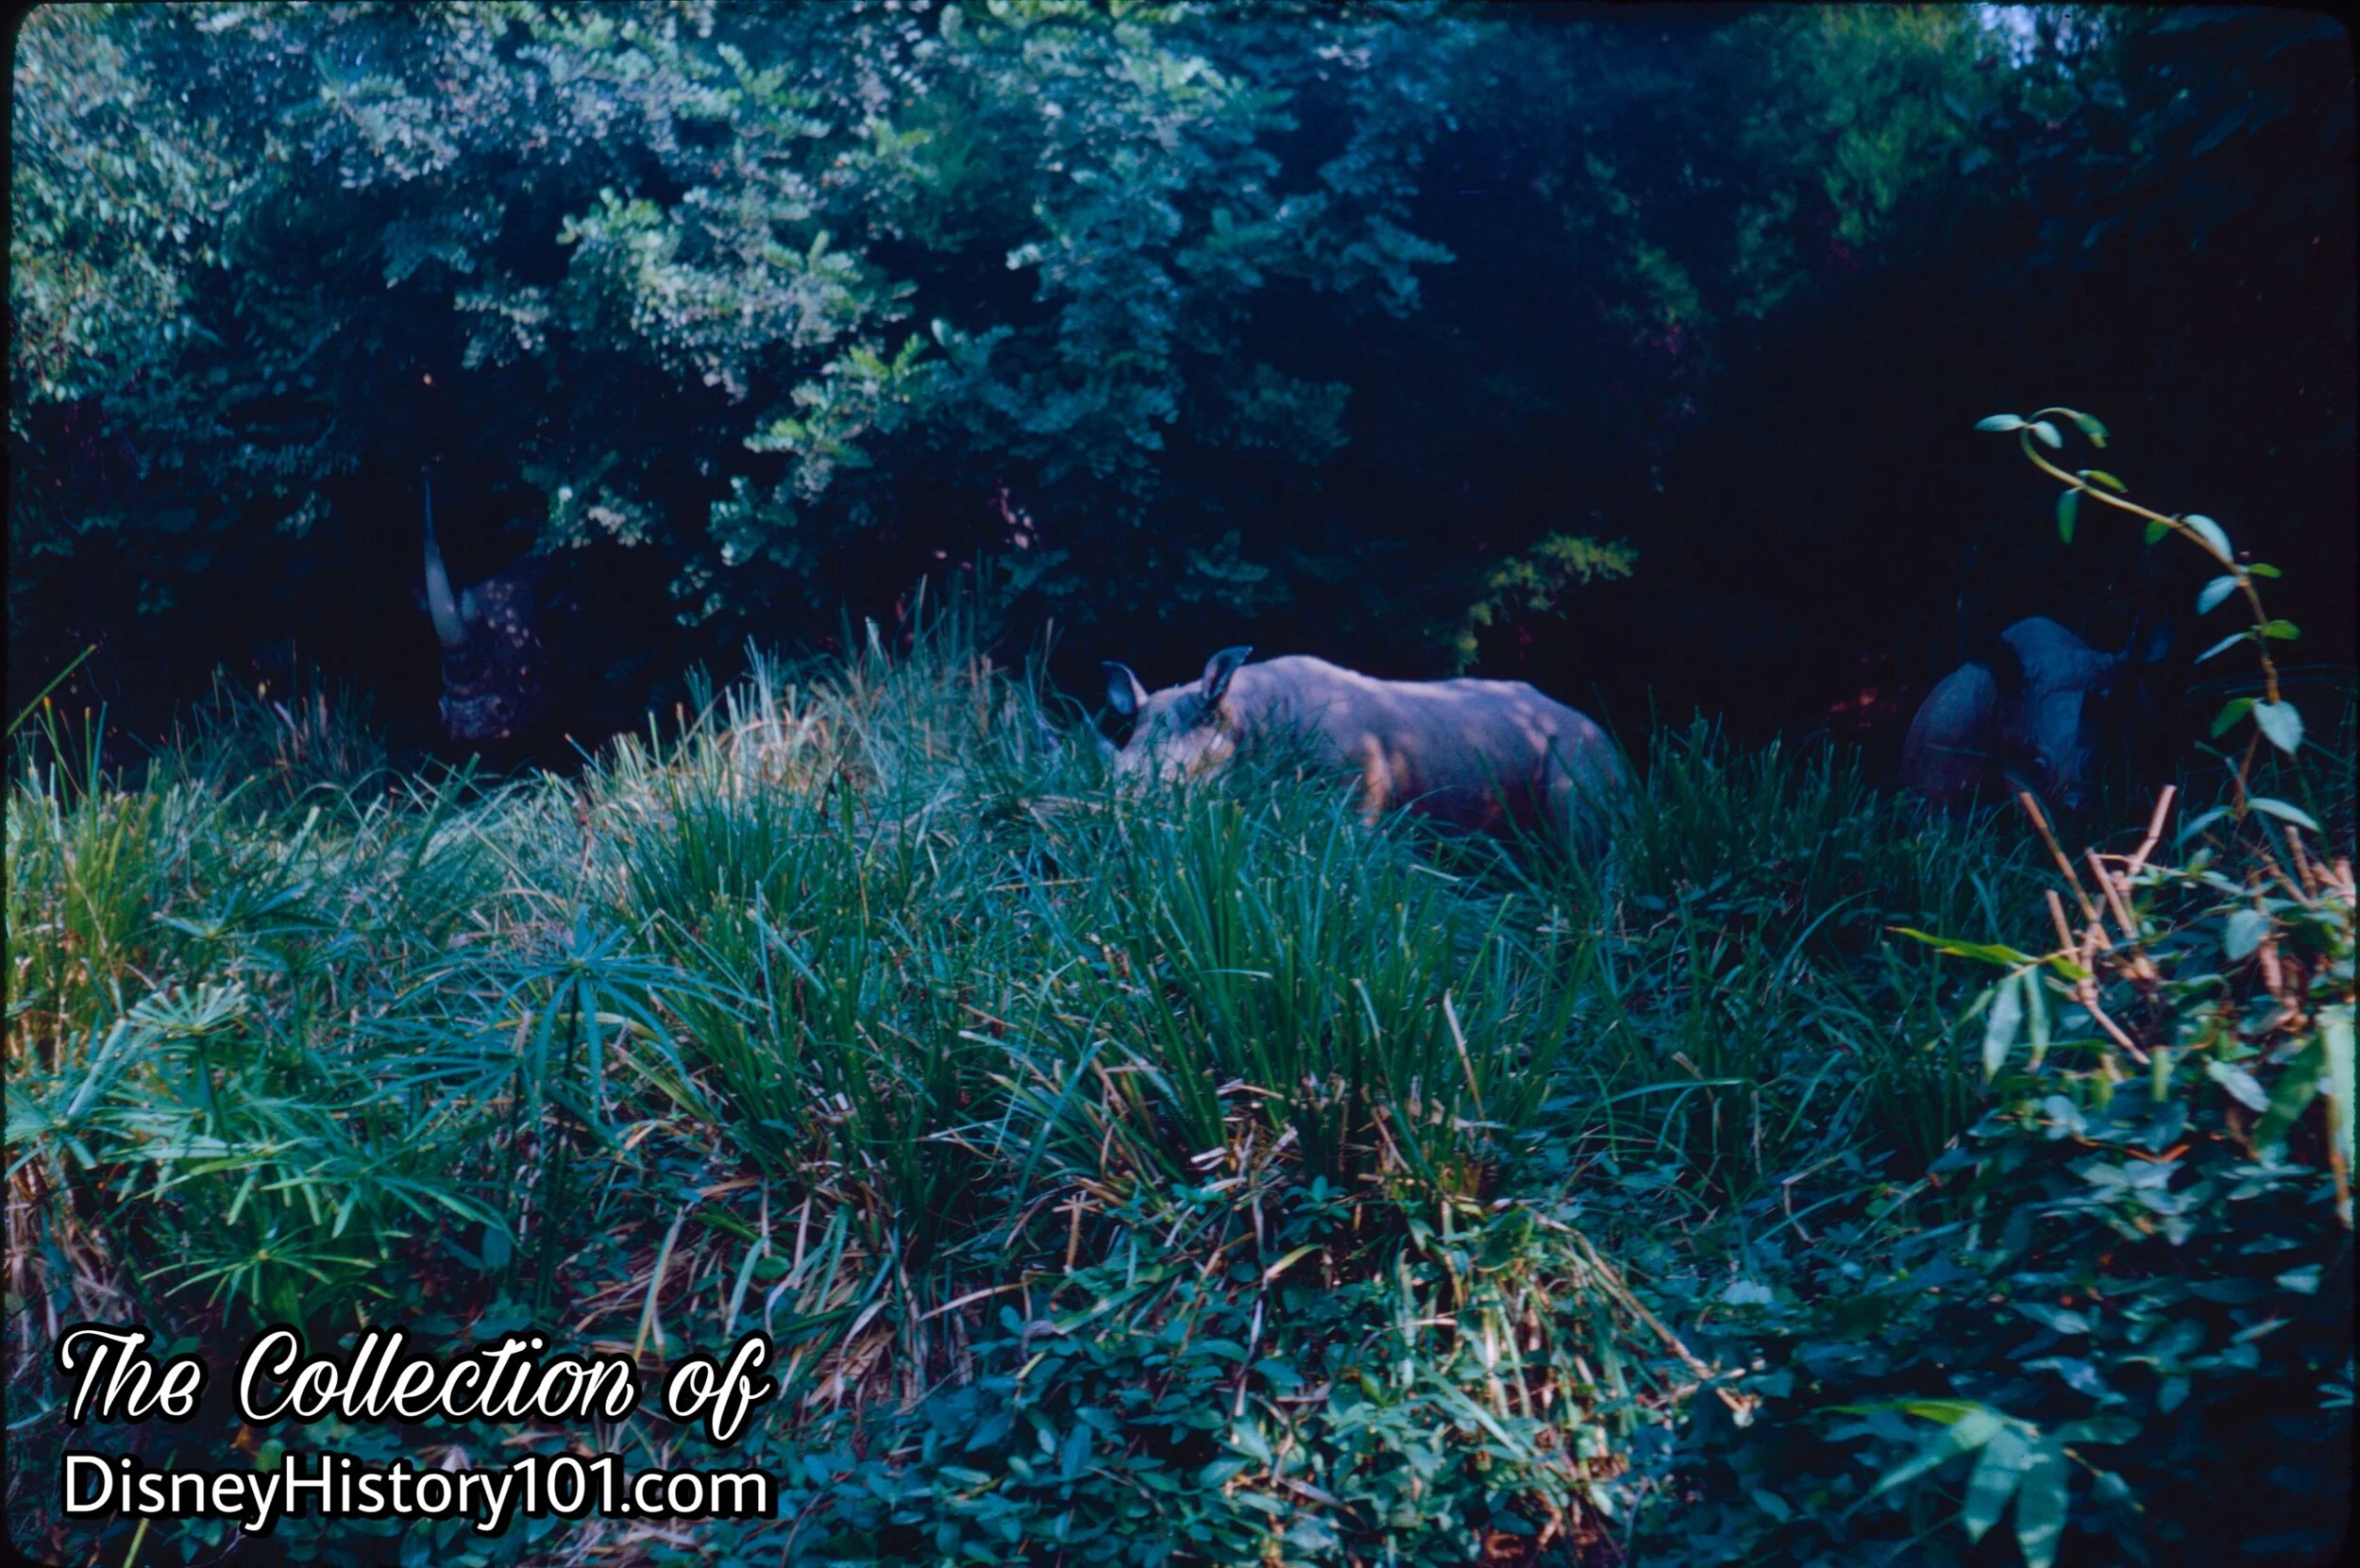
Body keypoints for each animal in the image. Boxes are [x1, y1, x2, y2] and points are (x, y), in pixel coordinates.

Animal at [1102, 646, 1626, 848]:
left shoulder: (1358, 792)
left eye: (1171, 787)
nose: (1112, 823)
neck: (1242, 715)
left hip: (1581, 750)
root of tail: (1601, 729)